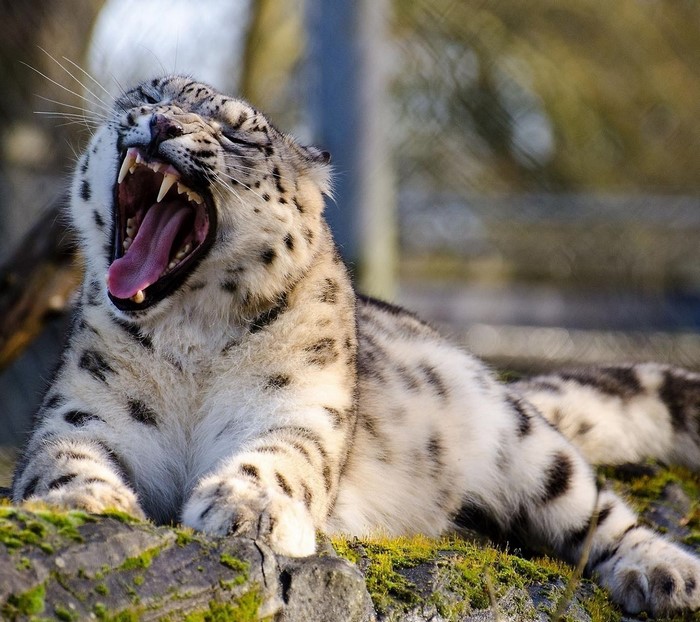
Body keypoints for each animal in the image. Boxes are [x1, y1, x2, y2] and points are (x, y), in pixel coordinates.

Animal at [11, 75, 700, 617]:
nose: (159, 122)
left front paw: (248, 507)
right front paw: (87, 498)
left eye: (237, 134)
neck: (190, 341)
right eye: (150, 93)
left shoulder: (301, 408)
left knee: (599, 512)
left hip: (526, 444)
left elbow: (281, 458)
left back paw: (664, 574)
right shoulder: (84, 409)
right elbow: (61, 455)